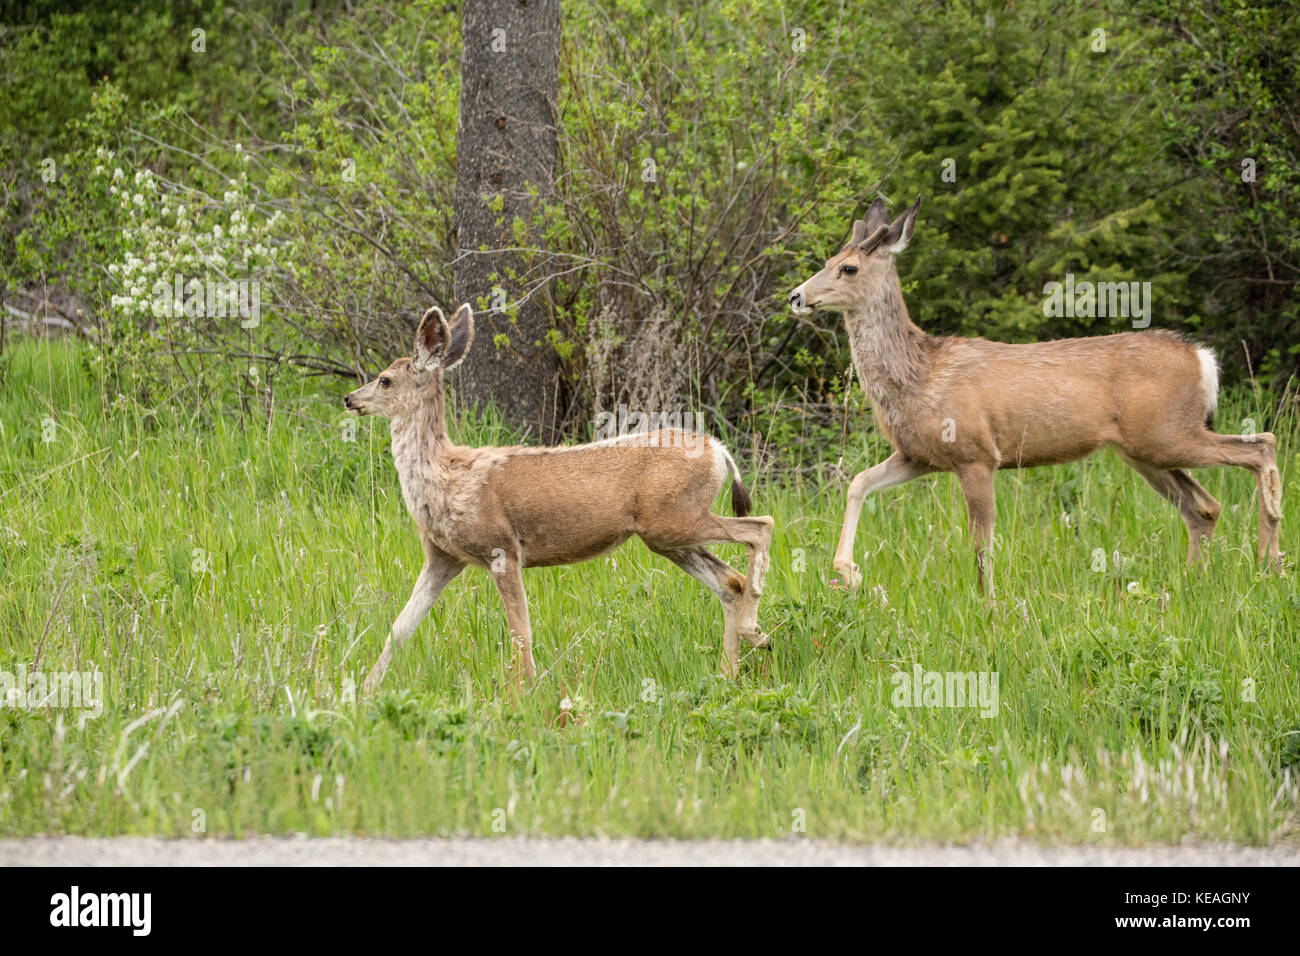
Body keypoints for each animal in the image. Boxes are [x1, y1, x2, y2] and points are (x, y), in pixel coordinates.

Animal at [343, 304, 769, 686]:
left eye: (384, 379)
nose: (350, 398)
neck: (447, 477)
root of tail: (719, 451)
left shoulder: (502, 547)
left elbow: (521, 633)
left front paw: (526, 695)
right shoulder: (442, 558)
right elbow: (399, 628)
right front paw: (363, 693)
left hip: (674, 519)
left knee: (760, 526)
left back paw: (753, 633)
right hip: (666, 535)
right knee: (730, 582)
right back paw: (729, 670)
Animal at [785, 195, 1284, 595]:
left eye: (848, 268)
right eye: (827, 259)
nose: (795, 296)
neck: (919, 376)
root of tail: (1203, 358)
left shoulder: (977, 454)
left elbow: (981, 543)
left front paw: (987, 605)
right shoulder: (919, 455)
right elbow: (858, 482)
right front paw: (848, 572)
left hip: (1168, 433)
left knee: (1262, 445)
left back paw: (1268, 560)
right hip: (1143, 450)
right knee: (1205, 506)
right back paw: (1194, 580)